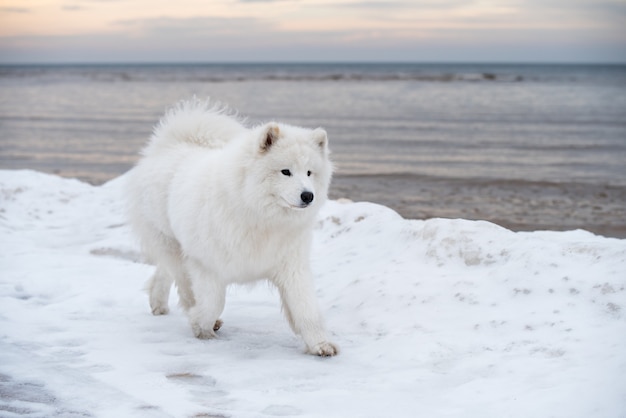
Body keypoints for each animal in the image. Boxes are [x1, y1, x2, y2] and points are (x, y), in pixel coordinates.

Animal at [125, 99, 336, 356]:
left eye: (309, 173)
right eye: (286, 171)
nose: (308, 195)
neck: (259, 216)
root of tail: (170, 145)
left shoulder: (291, 265)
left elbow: (306, 307)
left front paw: (320, 344)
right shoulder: (206, 263)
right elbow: (214, 302)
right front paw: (202, 326)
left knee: (165, 272)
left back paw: (157, 302)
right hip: (172, 244)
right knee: (181, 281)